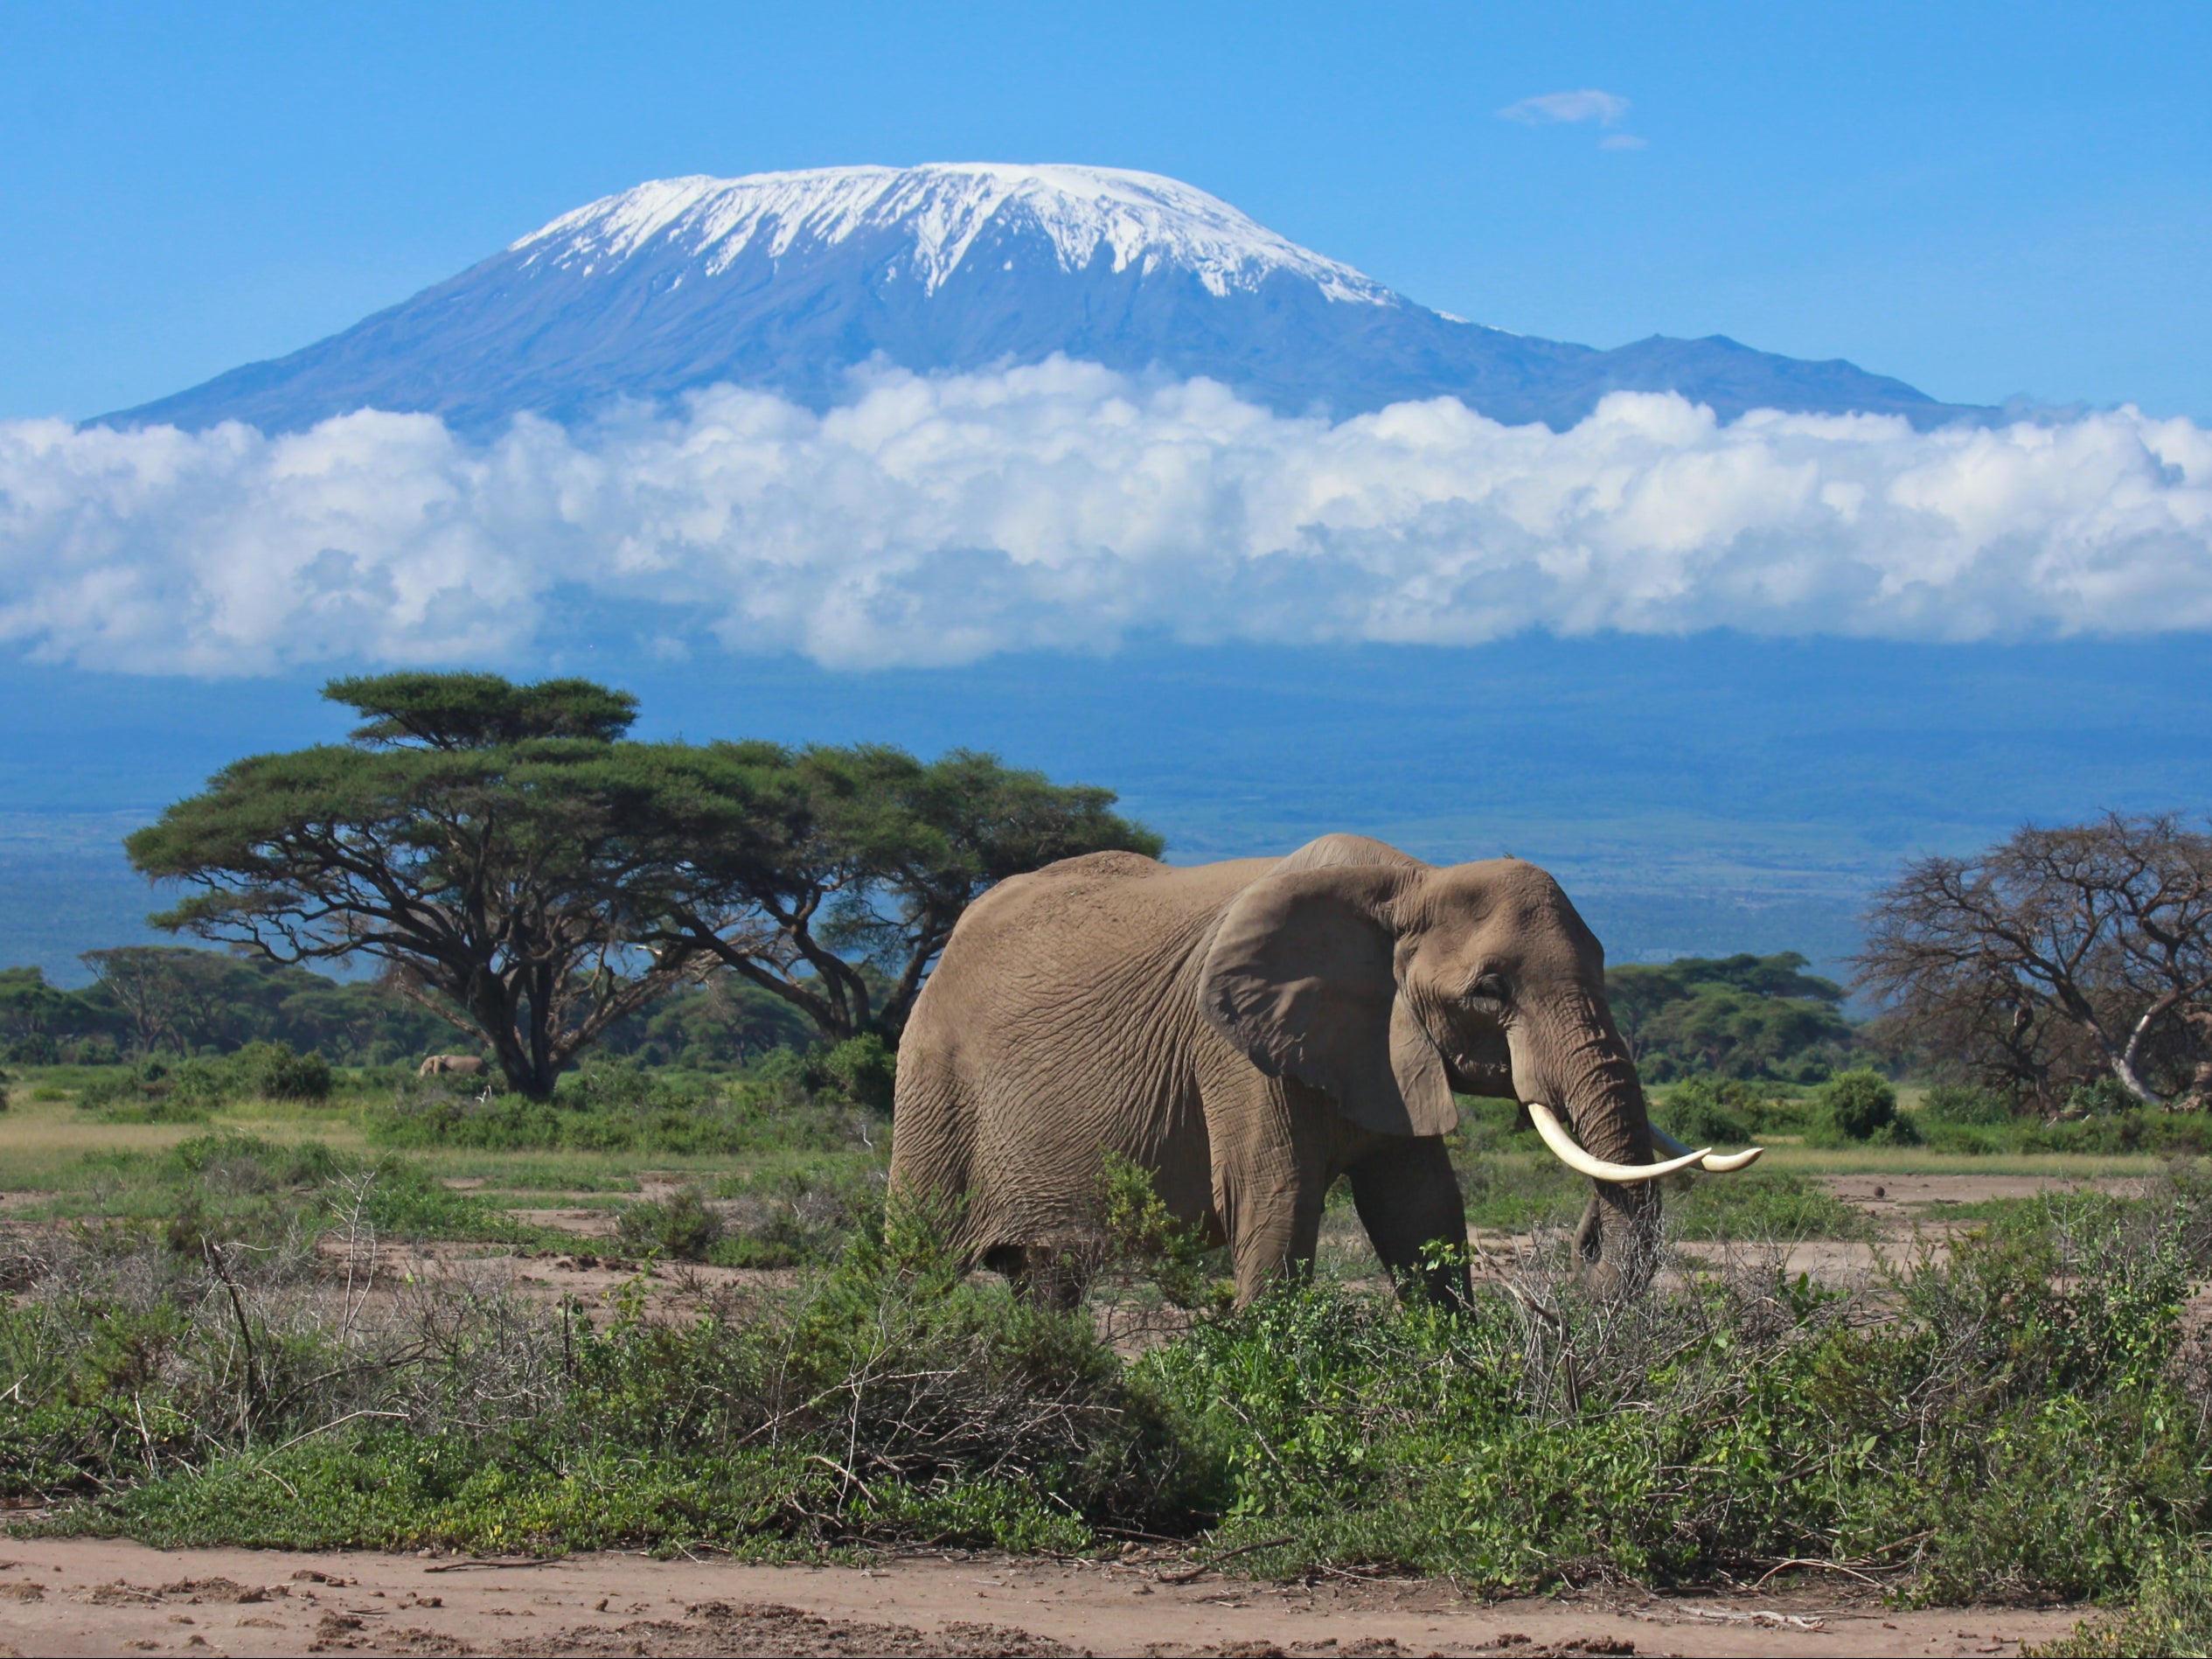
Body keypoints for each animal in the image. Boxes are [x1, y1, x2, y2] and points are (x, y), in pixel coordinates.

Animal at [889, 836, 1751, 1309]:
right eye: (1490, 989)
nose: (1584, 1243)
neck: (1410, 880)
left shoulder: (1386, 1045)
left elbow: (1422, 1212)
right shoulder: (1233, 1053)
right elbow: (1275, 1202)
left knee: (1048, 1282)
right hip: (933, 1081)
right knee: (917, 1260)